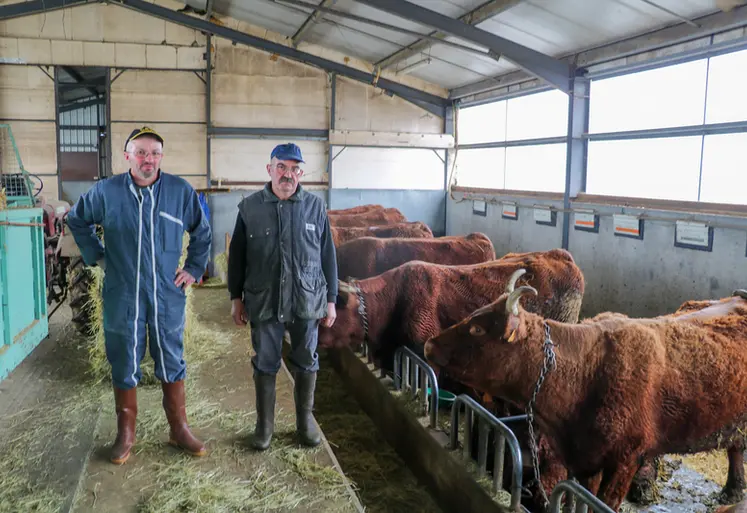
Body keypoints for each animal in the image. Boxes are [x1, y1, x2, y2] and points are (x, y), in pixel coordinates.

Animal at [424, 282, 747, 510]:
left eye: (478, 329)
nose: (429, 344)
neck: (587, 371)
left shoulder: (625, 459)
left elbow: (603, 502)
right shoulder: (585, 459)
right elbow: (583, 497)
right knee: (736, 447)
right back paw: (732, 491)